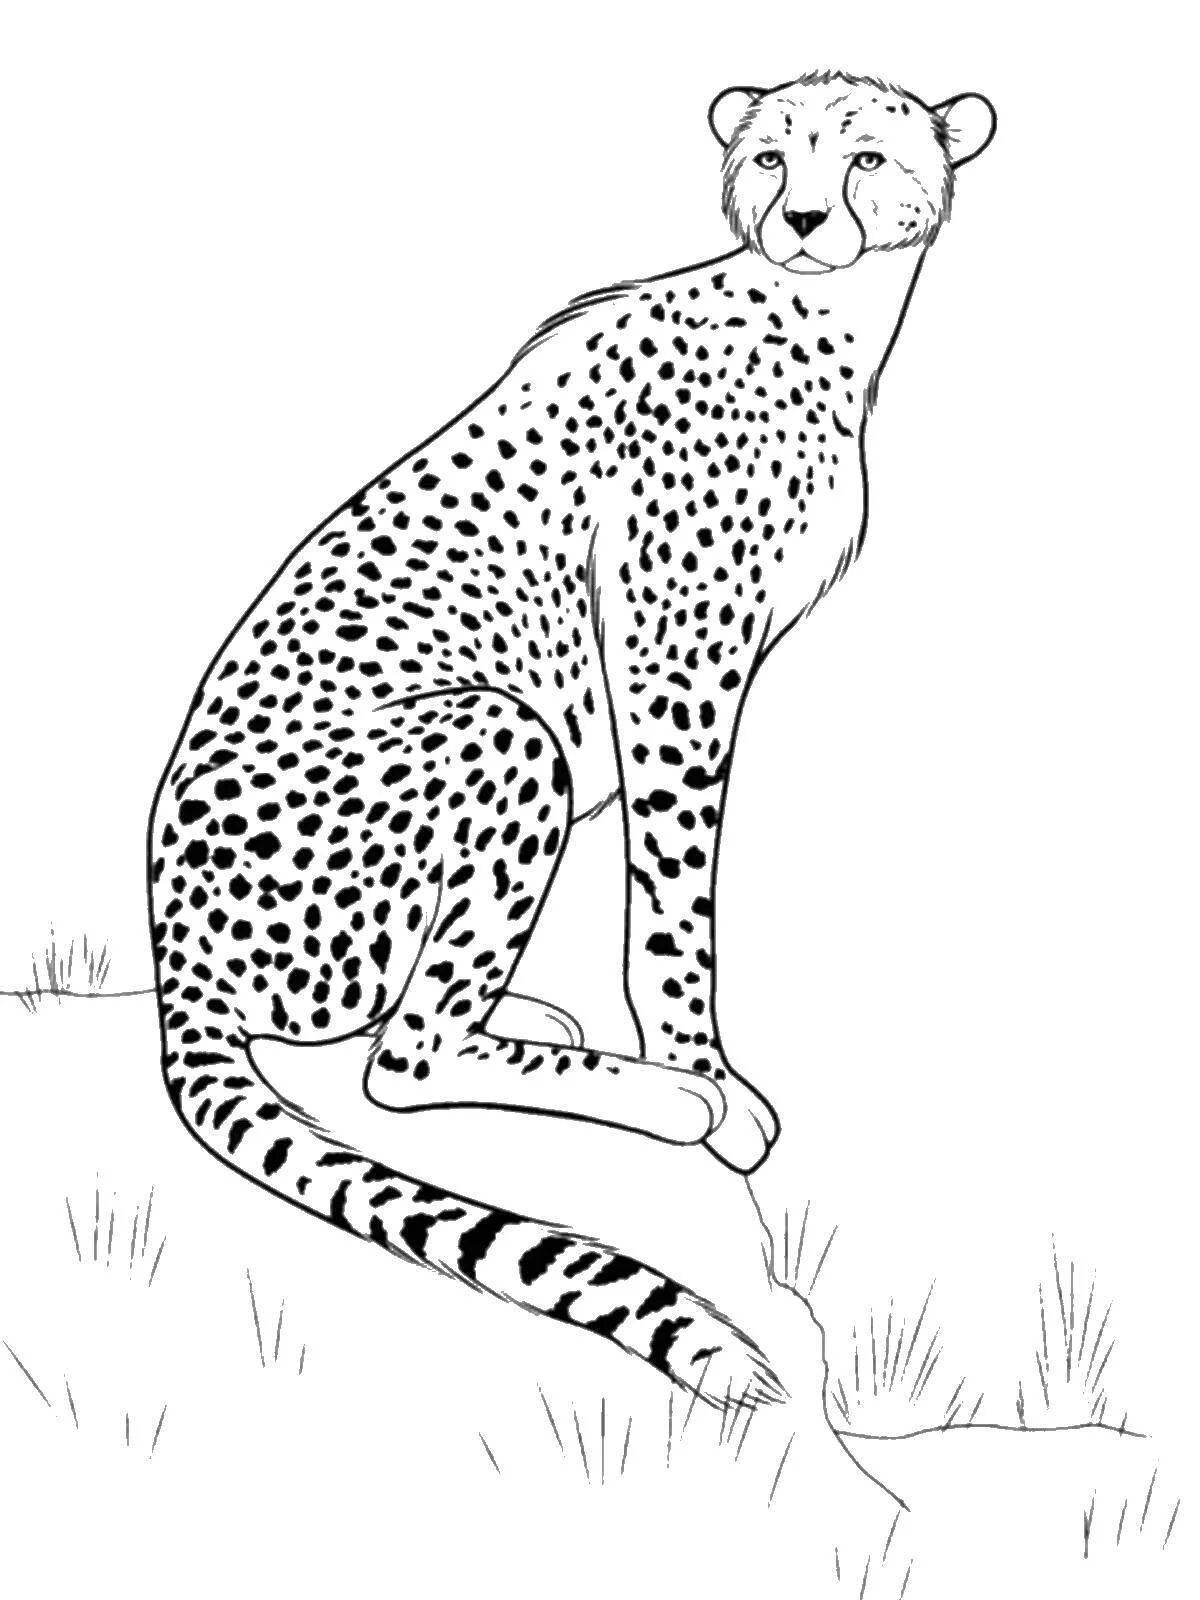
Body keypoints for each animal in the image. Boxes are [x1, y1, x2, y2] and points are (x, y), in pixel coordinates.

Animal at [148, 69, 996, 1411]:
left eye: (866, 157)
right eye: (771, 157)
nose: (805, 218)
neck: (824, 318)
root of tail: (169, 935)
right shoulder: (673, 656)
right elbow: (675, 902)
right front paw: (706, 1076)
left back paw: (536, 1016)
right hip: (509, 731)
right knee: (404, 1059)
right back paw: (658, 1099)